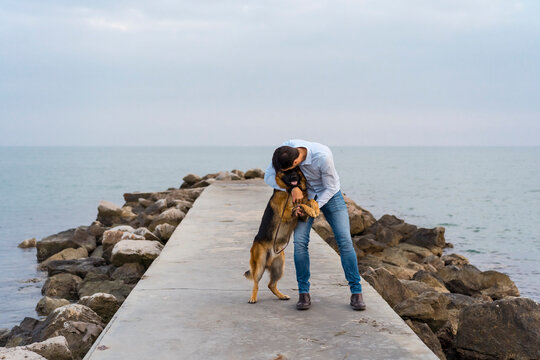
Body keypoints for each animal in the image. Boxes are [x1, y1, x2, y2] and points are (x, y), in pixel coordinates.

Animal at [245, 167, 320, 302]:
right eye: (288, 171)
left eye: (296, 170)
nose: (294, 177)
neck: (290, 191)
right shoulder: (286, 212)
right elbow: (300, 204)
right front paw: (311, 209)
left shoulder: (302, 217)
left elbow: (310, 200)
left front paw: (315, 208)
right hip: (259, 265)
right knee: (256, 283)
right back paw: (253, 297)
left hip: (279, 268)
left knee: (271, 284)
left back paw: (281, 296)